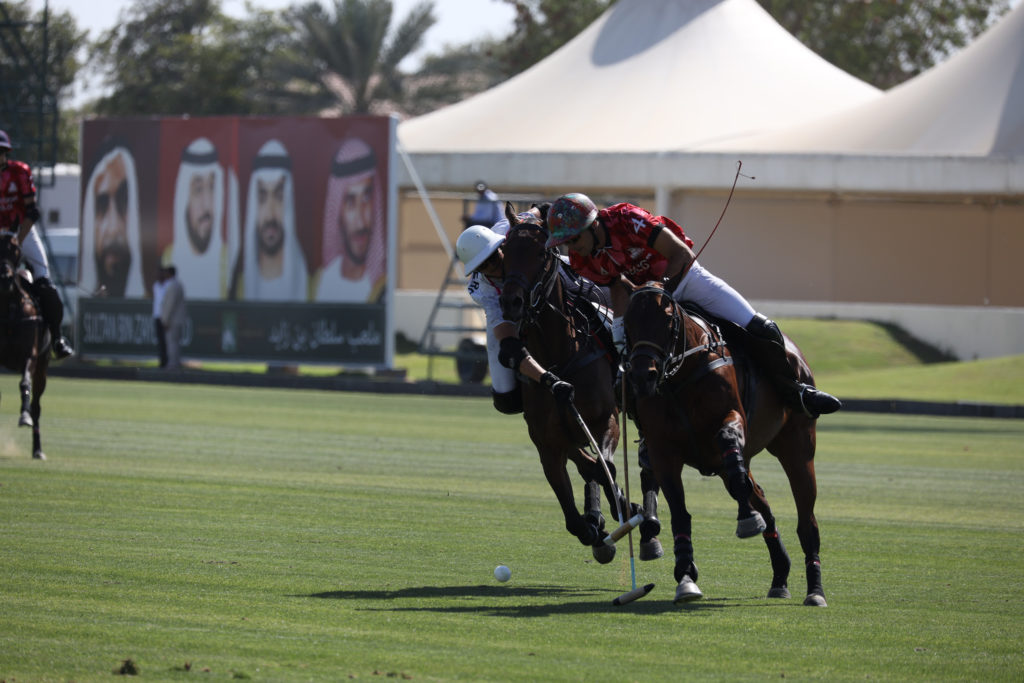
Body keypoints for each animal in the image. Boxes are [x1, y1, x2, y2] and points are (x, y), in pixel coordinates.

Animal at [495, 201, 630, 561]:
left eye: (542, 253)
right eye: (506, 251)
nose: (511, 302)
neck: (561, 352)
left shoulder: (605, 418)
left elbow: (603, 465)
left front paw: (625, 506)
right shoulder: (546, 439)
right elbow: (574, 514)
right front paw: (595, 526)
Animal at [618, 282, 827, 610]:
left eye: (667, 320)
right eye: (627, 321)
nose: (642, 377)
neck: (679, 376)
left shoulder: (732, 419)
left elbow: (729, 444)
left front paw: (746, 521)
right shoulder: (663, 451)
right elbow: (680, 513)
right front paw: (685, 575)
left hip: (798, 446)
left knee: (806, 519)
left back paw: (815, 590)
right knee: (762, 501)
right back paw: (780, 576)